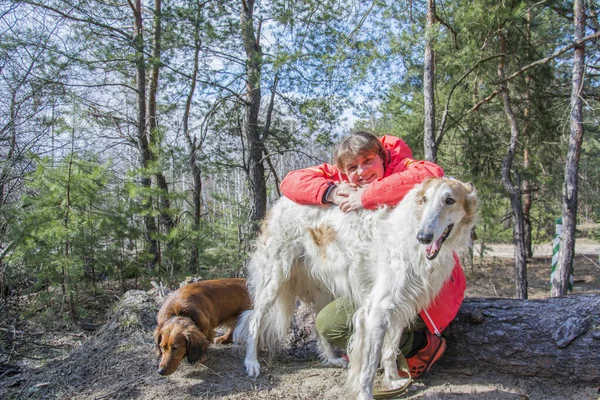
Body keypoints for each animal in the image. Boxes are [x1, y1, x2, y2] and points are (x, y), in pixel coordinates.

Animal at [234, 177, 478, 398]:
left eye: (449, 200)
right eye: (424, 199)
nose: (424, 237)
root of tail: (278, 204)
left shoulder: (400, 307)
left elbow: (390, 351)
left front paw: (393, 381)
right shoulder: (377, 311)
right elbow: (368, 367)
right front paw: (367, 393)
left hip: (322, 288)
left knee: (317, 325)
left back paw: (331, 359)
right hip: (273, 279)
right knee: (254, 320)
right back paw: (251, 362)